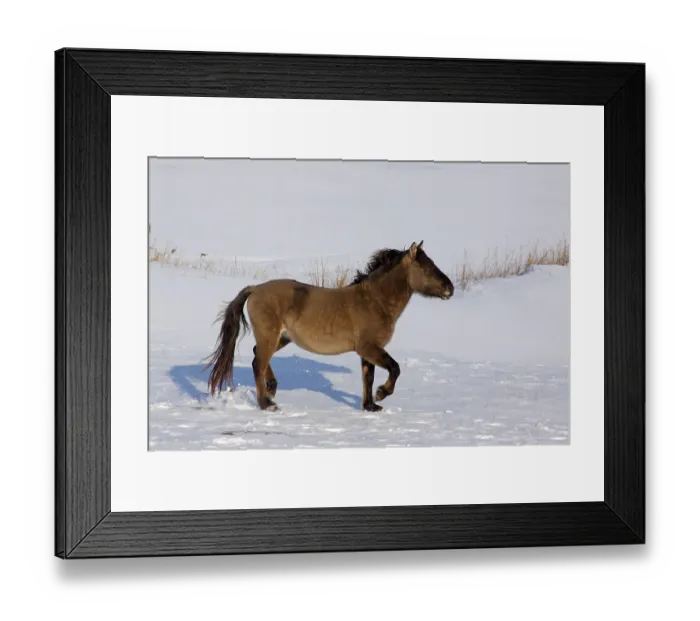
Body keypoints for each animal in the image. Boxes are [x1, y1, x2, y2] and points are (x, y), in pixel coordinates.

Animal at [204, 241, 455, 411]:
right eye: (426, 268)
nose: (450, 288)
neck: (374, 301)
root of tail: (255, 289)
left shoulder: (368, 352)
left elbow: (368, 377)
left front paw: (371, 406)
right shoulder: (370, 348)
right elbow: (394, 368)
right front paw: (382, 394)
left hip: (281, 338)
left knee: (259, 357)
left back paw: (272, 388)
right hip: (270, 336)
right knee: (258, 363)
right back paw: (267, 403)